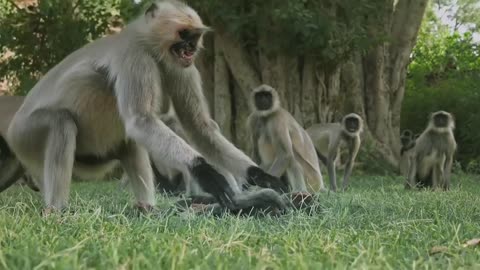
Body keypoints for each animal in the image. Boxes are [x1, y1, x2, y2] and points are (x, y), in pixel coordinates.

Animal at [5, 1, 286, 214]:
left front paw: (259, 176)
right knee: (61, 121)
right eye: (184, 35)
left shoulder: (181, 66)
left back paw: (148, 210)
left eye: (195, 37)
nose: (191, 49)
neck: (151, 47)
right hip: (26, 136)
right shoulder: (136, 55)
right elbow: (140, 120)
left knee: (129, 143)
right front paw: (205, 172)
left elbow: (199, 128)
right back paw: (57, 212)